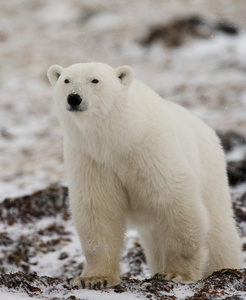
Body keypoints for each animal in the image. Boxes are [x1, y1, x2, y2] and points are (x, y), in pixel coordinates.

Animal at [47, 62, 242, 290]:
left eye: (95, 80)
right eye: (66, 80)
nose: (74, 98)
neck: (118, 138)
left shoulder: (151, 149)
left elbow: (175, 199)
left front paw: (176, 273)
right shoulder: (91, 159)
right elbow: (98, 209)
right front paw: (94, 278)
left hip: (209, 172)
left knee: (219, 232)